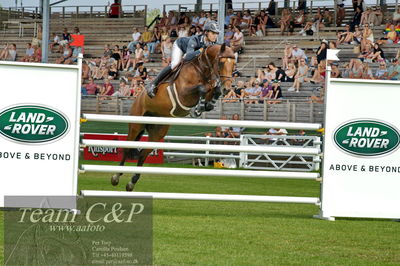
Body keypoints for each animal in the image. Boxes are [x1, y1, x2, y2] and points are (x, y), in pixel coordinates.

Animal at [111, 43, 236, 191]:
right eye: (221, 63)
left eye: (234, 64)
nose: (227, 89)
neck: (202, 69)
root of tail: (138, 96)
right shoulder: (183, 93)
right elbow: (203, 88)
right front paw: (198, 108)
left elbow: (212, 91)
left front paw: (203, 106)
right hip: (136, 125)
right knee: (127, 147)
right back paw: (115, 177)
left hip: (158, 131)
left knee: (143, 154)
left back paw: (131, 182)